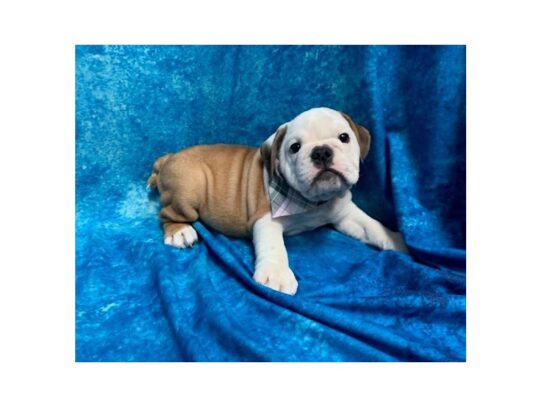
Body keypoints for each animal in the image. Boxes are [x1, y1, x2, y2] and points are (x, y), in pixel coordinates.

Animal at [149, 107, 408, 294]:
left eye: (344, 137)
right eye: (295, 147)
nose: (322, 151)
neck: (313, 202)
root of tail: (169, 158)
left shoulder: (345, 213)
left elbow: (372, 226)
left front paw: (397, 241)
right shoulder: (266, 219)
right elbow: (274, 246)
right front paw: (276, 275)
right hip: (189, 189)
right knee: (167, 213)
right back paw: (180, 232)